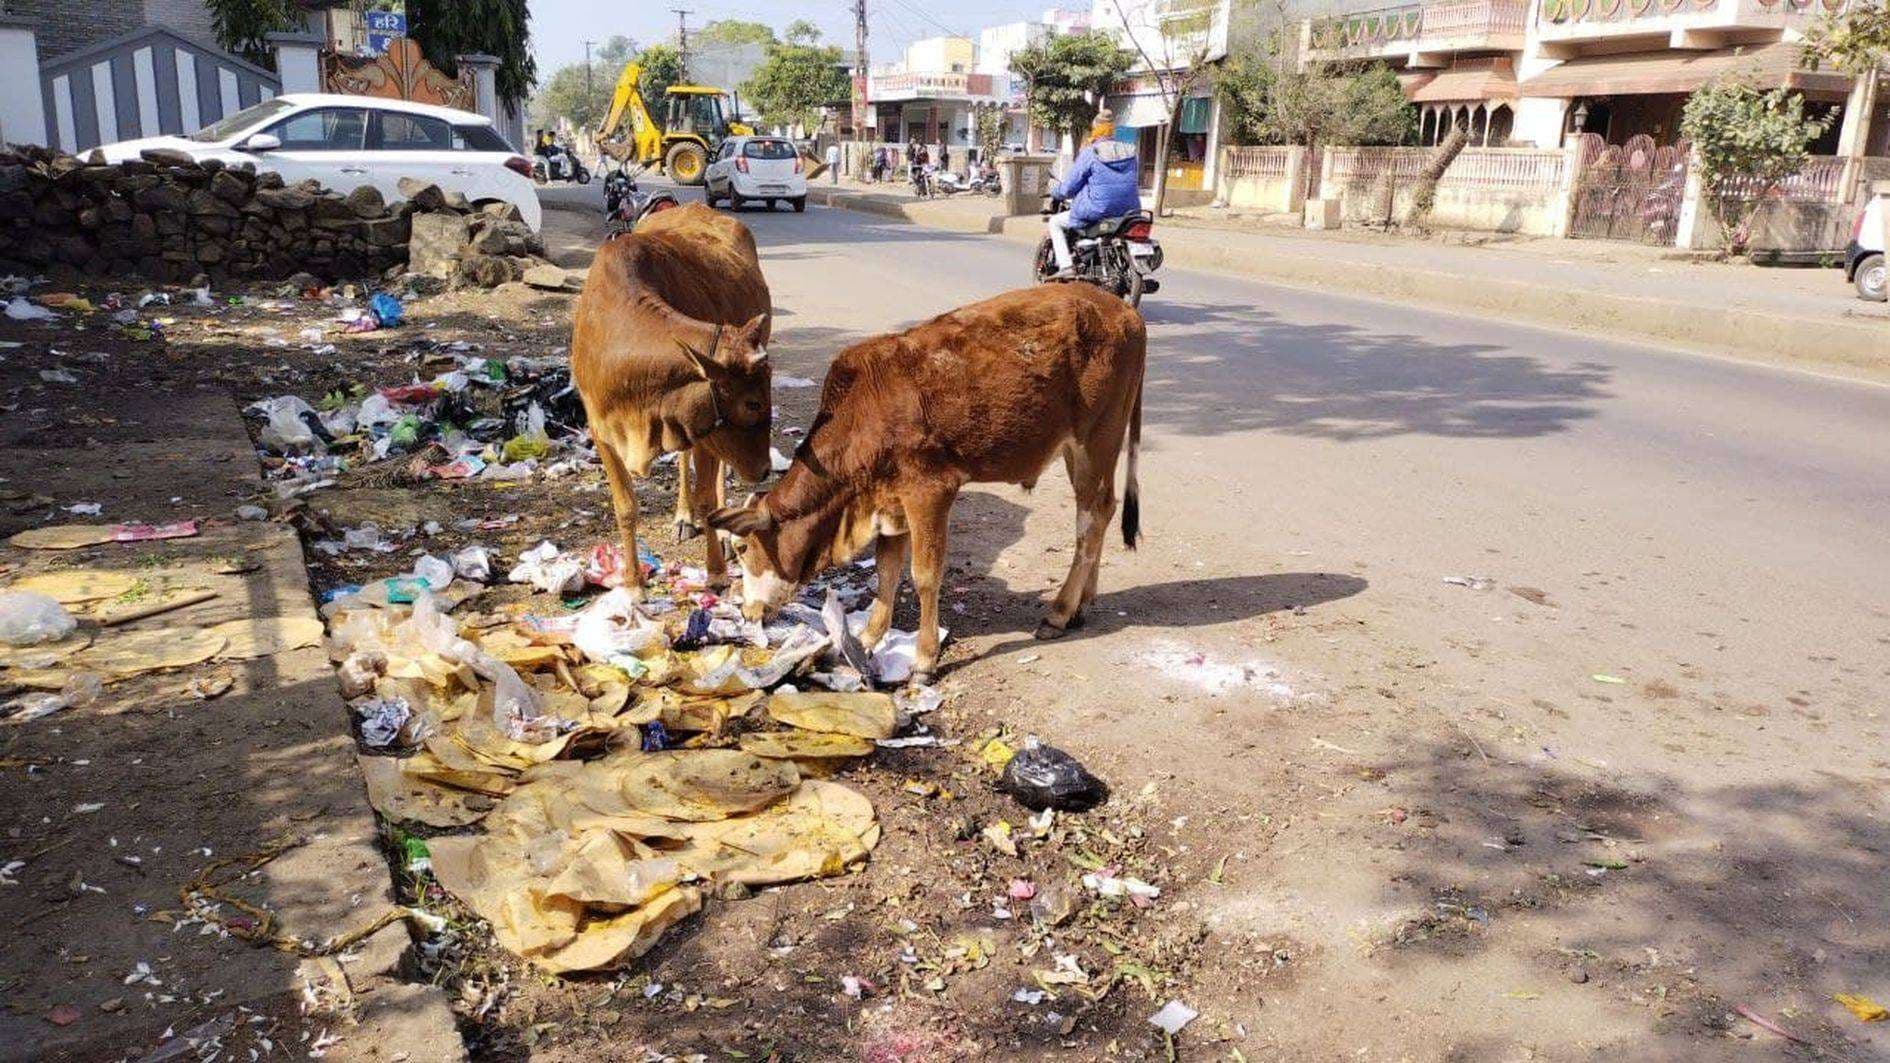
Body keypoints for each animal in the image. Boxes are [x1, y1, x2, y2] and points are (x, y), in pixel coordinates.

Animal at [578, 200, 778, 597]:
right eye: (752, 403)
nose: (765, 470)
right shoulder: (600, 430)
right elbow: (625, 506)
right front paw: (633, 585)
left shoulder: (705, 429)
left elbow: (707, 500)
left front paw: (715, 572)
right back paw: (683, 516)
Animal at [710, 281, 1141, 677]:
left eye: (742, 548)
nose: (747, 611)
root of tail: (1123, 309)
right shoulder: (889, 499)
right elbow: (886, 571)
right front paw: (867, 638)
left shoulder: (930, 491)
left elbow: (924, 575)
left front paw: (924, 657)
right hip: (1078, 449)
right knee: (1103, 510)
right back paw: (1083, 603)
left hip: (1096, 439)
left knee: (1090, 518)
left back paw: (1061, 611)